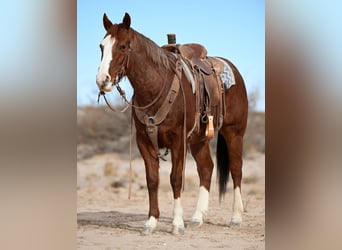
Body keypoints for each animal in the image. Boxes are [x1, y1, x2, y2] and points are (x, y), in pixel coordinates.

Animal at [95, 12, 247, 234]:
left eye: (122, 46)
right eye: (101, 46)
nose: (102, 80)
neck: (158, 86)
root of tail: (234, 70)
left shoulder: (178, 141)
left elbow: (175, 179)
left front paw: (177, 224)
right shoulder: (144, 142)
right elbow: (152, 180)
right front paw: (151, 222)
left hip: (234, 133)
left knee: (236, 170)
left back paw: (235, 217)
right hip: (199, 141)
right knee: (206, 169)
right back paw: (197, 217)